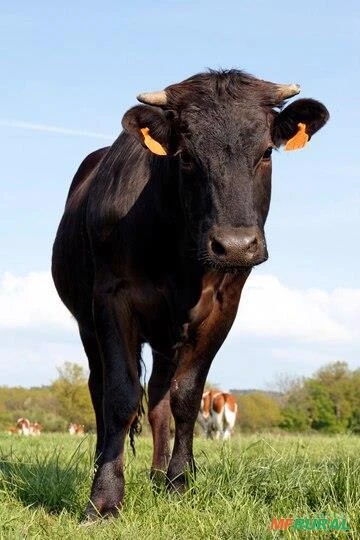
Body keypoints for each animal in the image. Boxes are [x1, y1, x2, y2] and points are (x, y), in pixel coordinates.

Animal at [52, 68, 330, 520]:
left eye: (266, 153)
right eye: (186, 157)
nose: (235, 246)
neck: (180, 258)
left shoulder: (223, 308)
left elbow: (186, 397)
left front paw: (179, 482)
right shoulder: (111, 301)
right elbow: (120, 395)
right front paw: (105, 498)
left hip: (167, 338)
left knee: (160, 400)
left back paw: (157, 474)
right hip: (87, 325)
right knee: (99, 390)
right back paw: (104, 462)